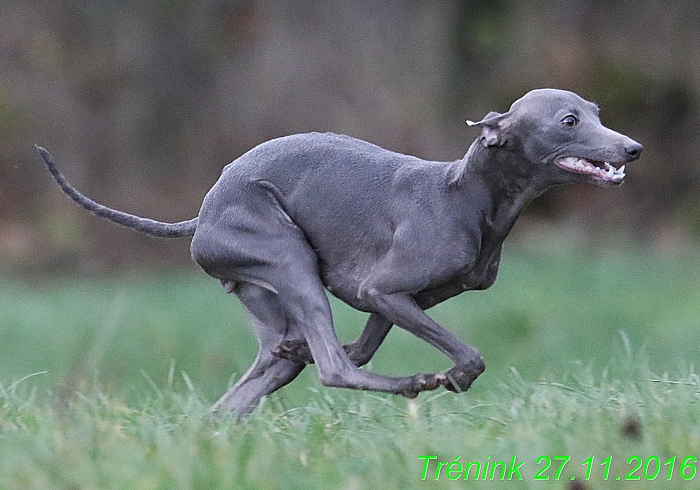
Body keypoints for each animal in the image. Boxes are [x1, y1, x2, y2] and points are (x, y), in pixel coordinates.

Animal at [37, 88, 640, 418]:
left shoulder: (400, 299)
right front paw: (452, 377)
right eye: (569, 121)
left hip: (265, 296)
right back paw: (409, 383)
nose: (632, 148)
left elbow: (365, 346)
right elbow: (465, 357)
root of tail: (201, 216)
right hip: (288, 257)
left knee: (254, 386)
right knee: (333, 369)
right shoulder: (384, 289)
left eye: (596, 111)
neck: (467, 193)